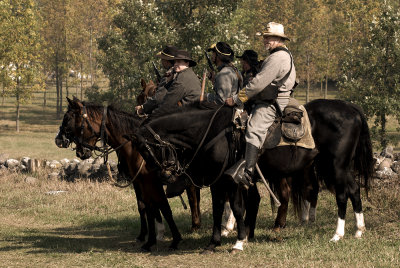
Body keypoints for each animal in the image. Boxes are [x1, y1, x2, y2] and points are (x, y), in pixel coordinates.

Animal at [133, 98, 374, 251]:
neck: (211, 131)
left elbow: (238, 208)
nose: (165, 176)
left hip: (335, 166)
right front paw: (213, 243)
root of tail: (352, 108)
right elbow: (219, 208)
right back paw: (358, 230)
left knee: (342, 195)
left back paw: (338, 234)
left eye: (145, 148)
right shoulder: (217, 181)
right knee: (354, 191)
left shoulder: (231, 181)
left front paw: (239, 242)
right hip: (339, 167)